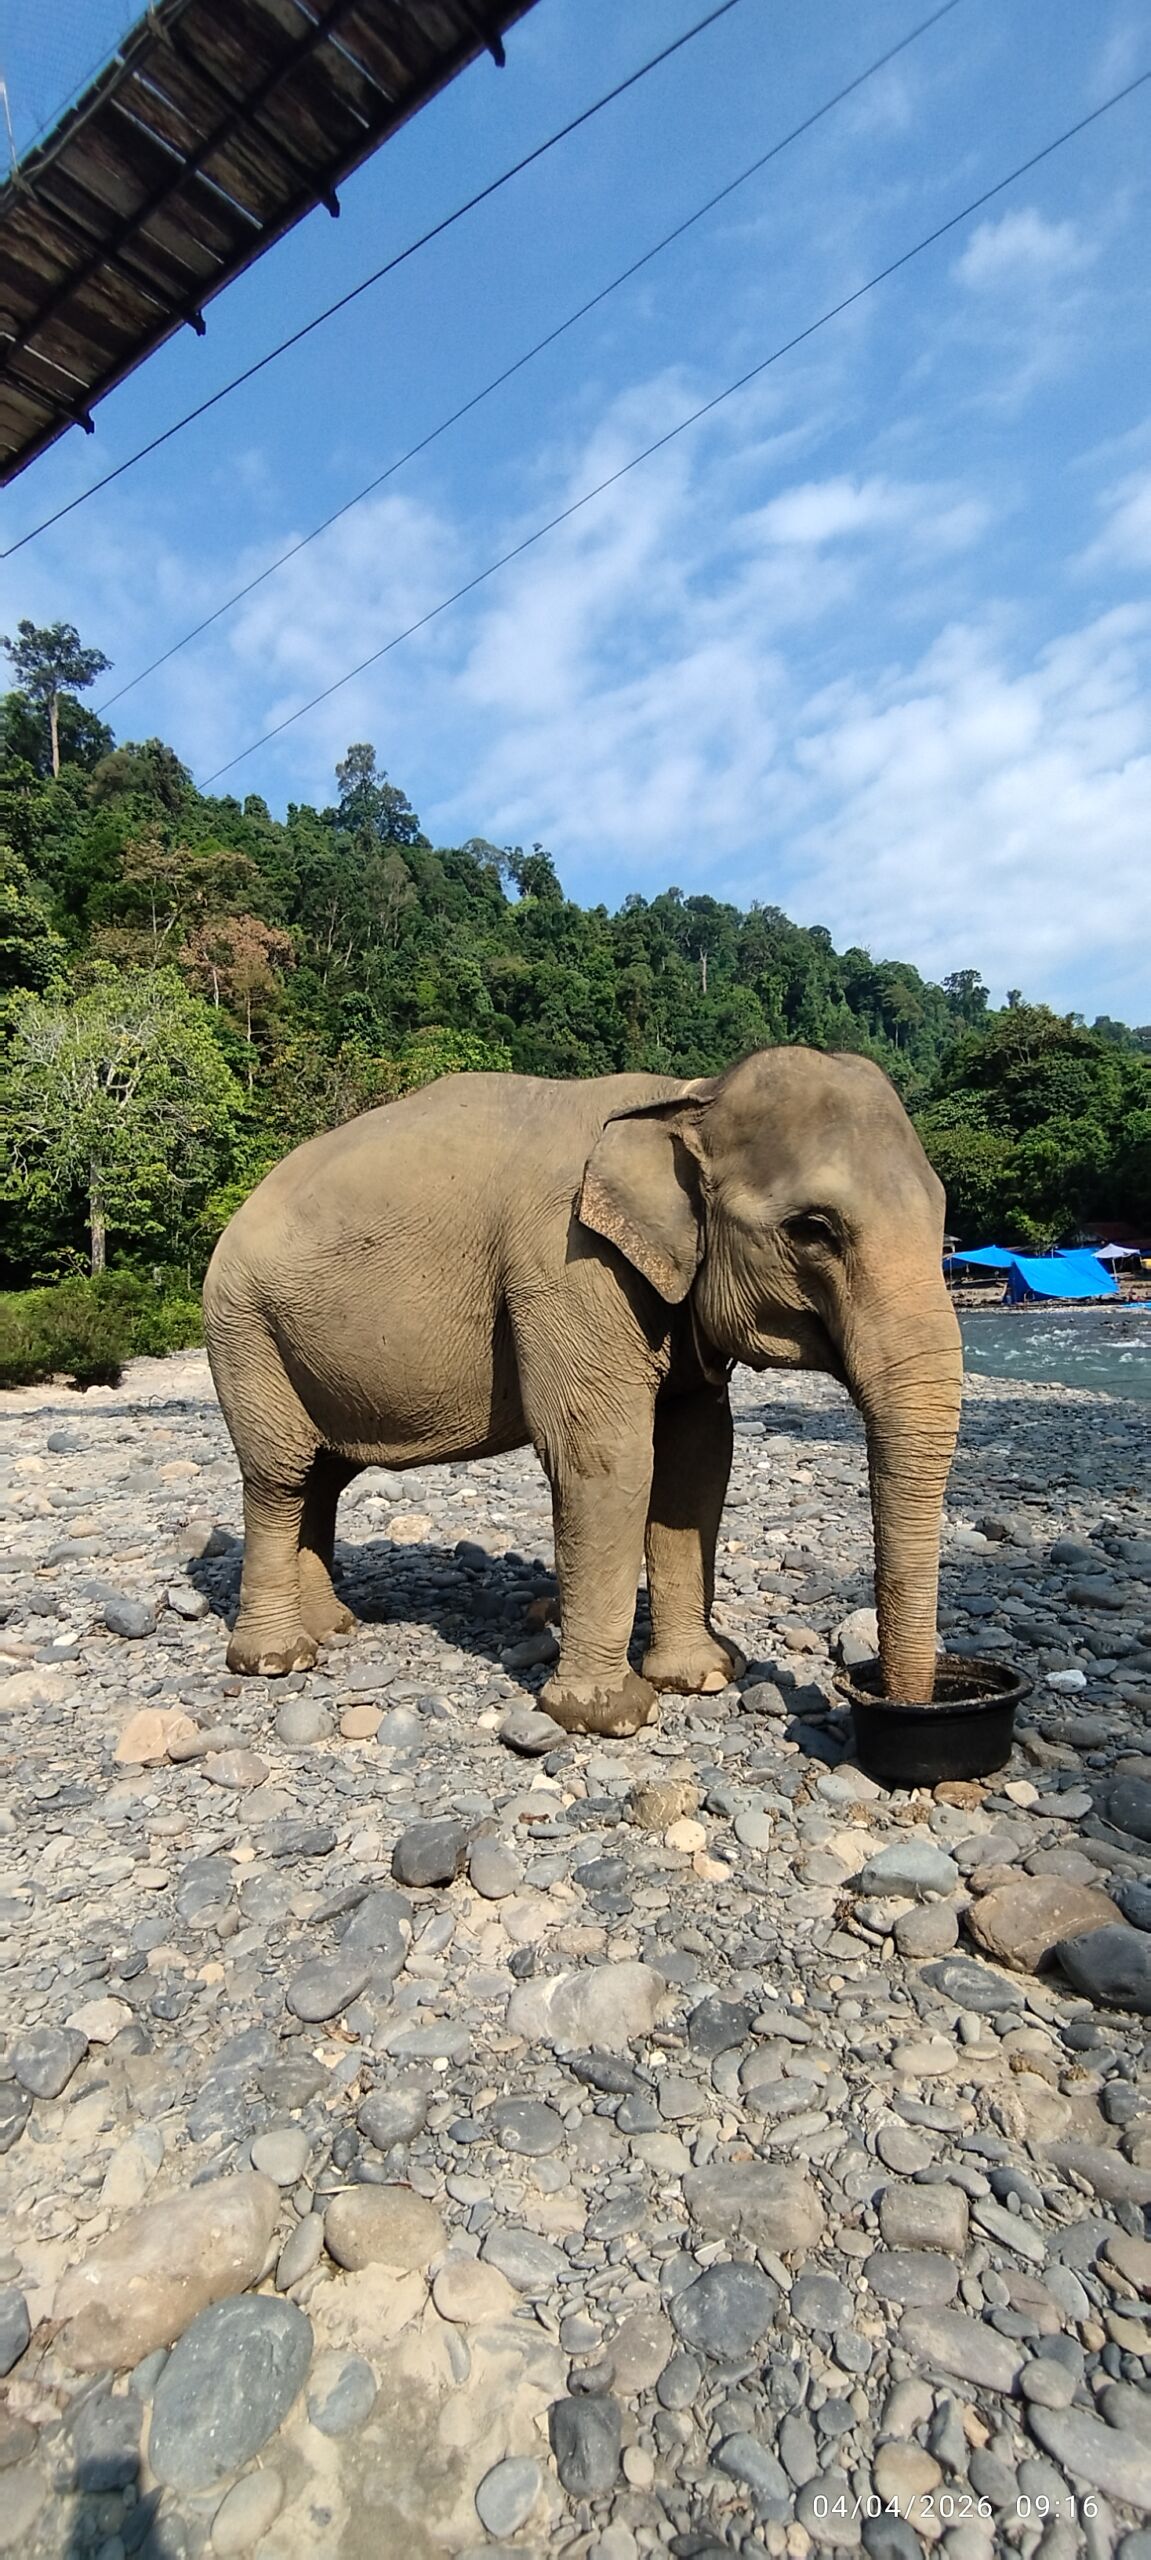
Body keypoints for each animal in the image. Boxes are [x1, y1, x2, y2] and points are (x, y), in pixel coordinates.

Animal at [202, 1048, 962, 1735]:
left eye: (943, 1215)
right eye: (812, 1230)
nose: (891, 1702)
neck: (685, 1094)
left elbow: (697, 1459)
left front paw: (702, 1676)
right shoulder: (565, 1265)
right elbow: (604, 1457)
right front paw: (606, 1717)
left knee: (322, 1475)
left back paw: (333, 1626)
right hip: (244, 1329)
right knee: (278, 1475)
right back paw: (278, 1658)